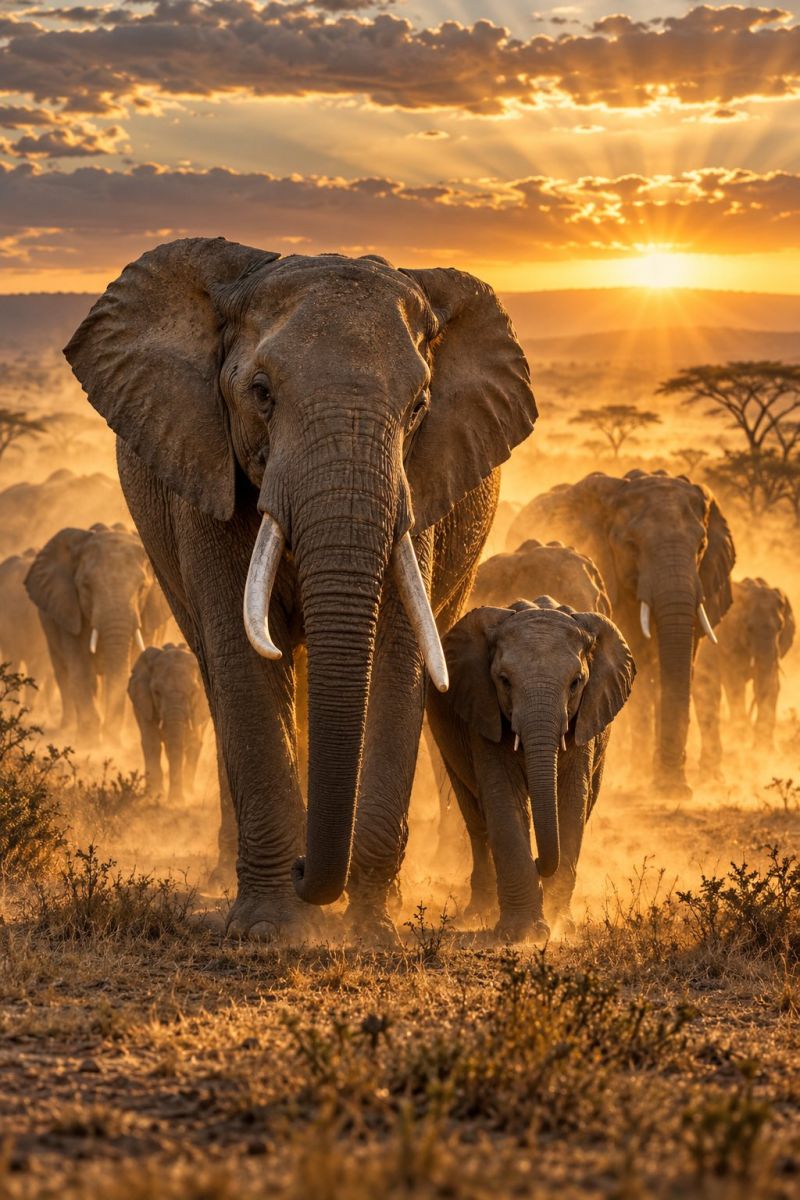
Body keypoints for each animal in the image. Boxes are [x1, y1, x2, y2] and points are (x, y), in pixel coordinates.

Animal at [24, 523, 171, 739]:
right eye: (86, 586)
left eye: (142, 588)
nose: (109, 733)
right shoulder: (68, 609)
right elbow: (81, 670)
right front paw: (90, 740)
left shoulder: (146, 616)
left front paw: (113, 739)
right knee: (63, 672)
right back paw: (67, 728)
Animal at [128, 643, 210, 803]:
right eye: (157, 692)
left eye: (193, 693)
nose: (175, 800)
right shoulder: (144, 704)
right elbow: (152, 743)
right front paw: (154, 795)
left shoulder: (197, 708)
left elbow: (191, 742)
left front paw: (180, 800)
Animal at [426, 598, 635, 940]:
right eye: (504, 680)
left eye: (576, 683)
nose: (538, 861)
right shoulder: (484, 711)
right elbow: (503, 798)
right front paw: (523, 932)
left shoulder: (584, 720)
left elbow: (572, 801)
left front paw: (560, 923)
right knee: (476, 821)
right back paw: (478, 913)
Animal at [506, 470, 735, 796]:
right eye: (631, 545)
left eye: (702, 546)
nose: (674, 786)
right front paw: (652, 780)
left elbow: (683, 661)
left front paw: (672, 785)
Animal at [694, 577, 795, 771]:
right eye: (749, 628)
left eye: (780, 628)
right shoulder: (726, 642)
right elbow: (735, 684)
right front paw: (742, 740)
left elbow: (770, 684)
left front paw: (765, 753)